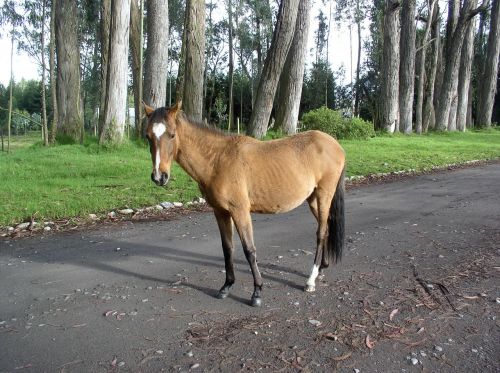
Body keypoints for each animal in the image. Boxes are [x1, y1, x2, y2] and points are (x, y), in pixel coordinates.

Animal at [143, 101, 346, 306]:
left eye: (172, 134)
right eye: (148, 136)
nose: (159, 177)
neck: (218, 160)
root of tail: (335, 144)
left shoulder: (240, 211)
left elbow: (249, 250)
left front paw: (257, 292)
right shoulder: (220, 212)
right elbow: (227, 248)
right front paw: (226, 286)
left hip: (324, 196)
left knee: (320, 233)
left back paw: (310, 280)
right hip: (313, 199)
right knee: (326, 228)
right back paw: (322, 268)